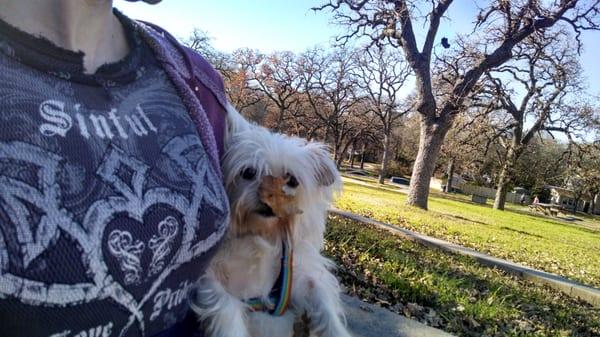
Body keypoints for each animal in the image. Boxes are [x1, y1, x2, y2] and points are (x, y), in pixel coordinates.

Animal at [191, 107, 352, 336]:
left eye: (292, 180)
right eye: (249, 172)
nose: (269, 200)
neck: (263, 234)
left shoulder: (301, 277)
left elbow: (324, 305)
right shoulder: (214, 280)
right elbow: (227, 309)